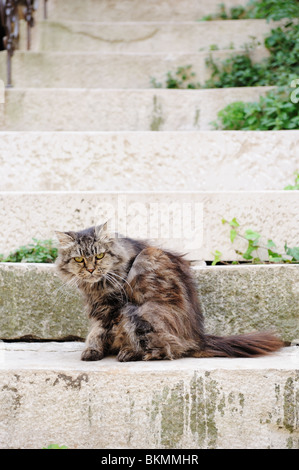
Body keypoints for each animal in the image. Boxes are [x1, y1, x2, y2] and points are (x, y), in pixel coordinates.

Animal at [55, 222, 284, 362]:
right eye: (79, 259)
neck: (97, 286)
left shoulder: (117, 306)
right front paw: (93, 350)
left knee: (166, 347)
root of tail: (197, 336)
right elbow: (96, 331)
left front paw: (116, 349)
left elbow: (108, 329)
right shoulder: (98, 307)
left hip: (142, 309)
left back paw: (132, 353)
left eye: (100, 256)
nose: (90, 269)